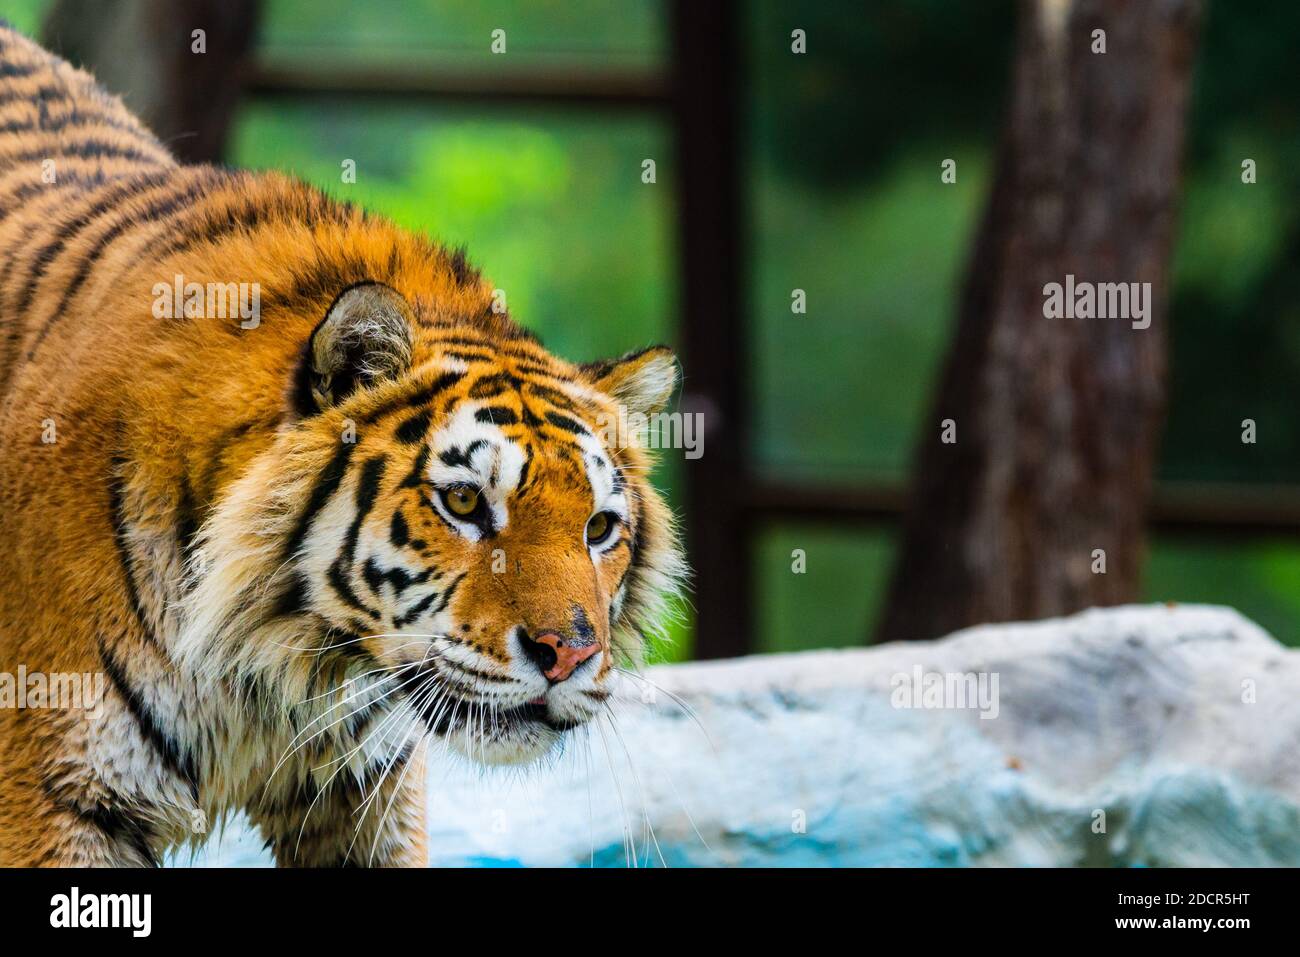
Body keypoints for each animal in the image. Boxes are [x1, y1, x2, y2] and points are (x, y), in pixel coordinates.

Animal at [0, 24, 686, 868]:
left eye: (599, 528)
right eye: (465, 502)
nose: (569, 656)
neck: (274, 669)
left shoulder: (366, 790)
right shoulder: (52, 799)